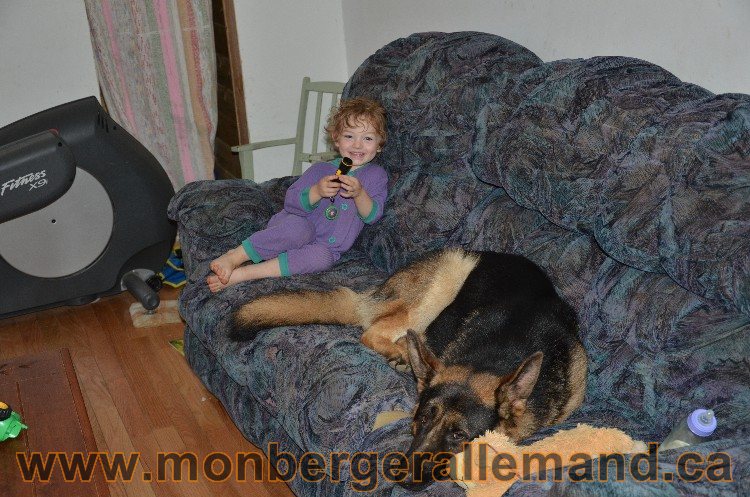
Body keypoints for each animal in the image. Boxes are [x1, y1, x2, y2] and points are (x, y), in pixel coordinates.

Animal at [234, 246, 588, 486]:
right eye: (422, 418)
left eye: (459, 435)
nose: (401, 477)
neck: (495, 356)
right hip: (444, 279)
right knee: (372, 331)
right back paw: (401, 354)